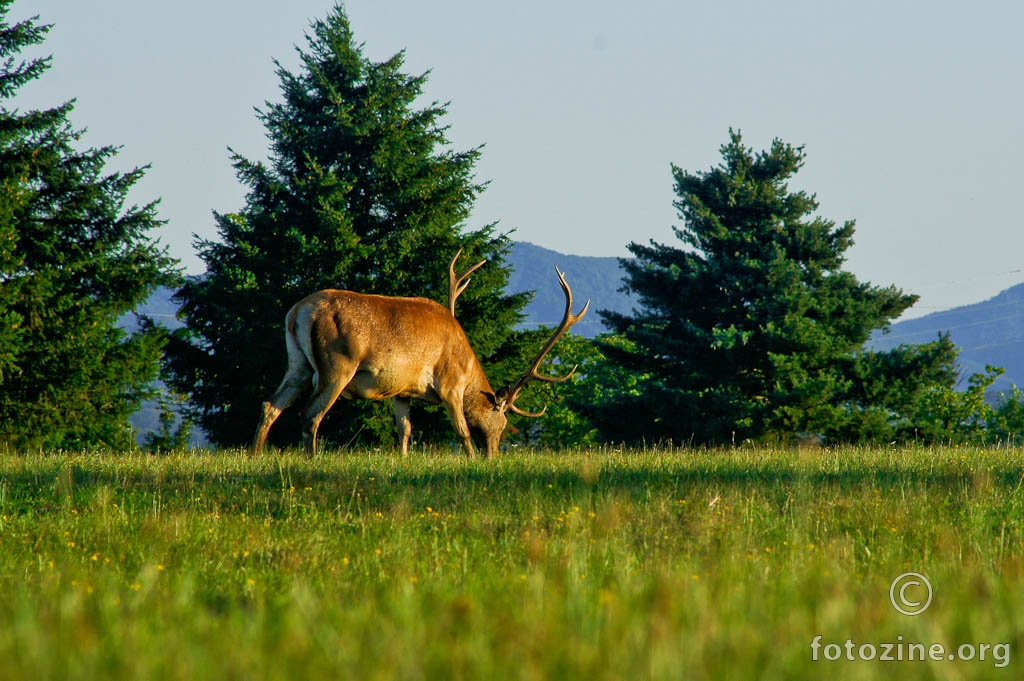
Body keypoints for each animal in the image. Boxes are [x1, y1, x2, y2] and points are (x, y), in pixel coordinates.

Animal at [249, 251, 593, 458]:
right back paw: (311, 459)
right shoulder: (450, 384)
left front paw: (402, 461)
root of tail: (298, 311)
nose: (493, 455)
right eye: (502, 421)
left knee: (271, 404)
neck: (468, 367)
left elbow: (405, 431)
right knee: (310, 414)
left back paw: (255, 455)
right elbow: (462, 430)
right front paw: (472, 460)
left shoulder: (401, 391)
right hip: (337, 365)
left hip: (298, 363)